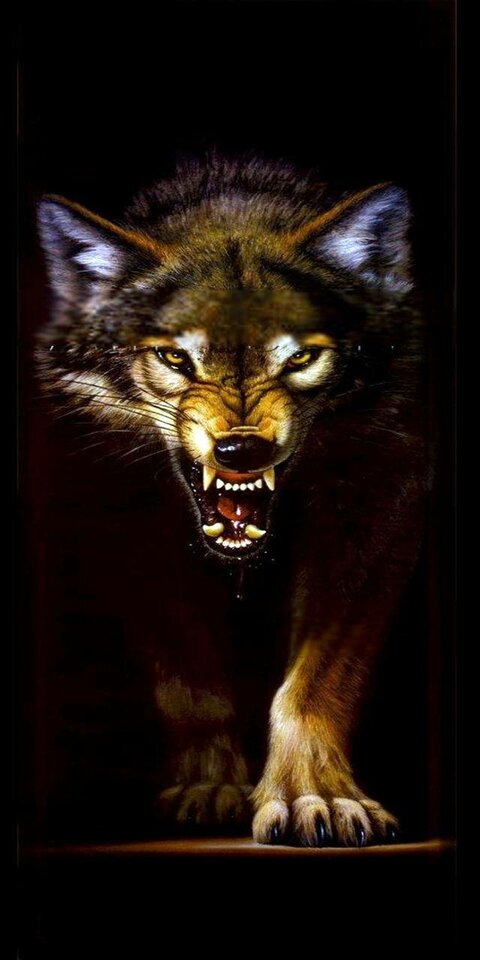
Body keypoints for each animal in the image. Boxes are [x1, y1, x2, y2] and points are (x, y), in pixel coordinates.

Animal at [36, 155, 428, 846]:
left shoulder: (384, 498)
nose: (242, 450)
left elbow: (317, 679)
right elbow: (189, 675)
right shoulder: (117, 516)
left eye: (301, 356)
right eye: (174, 356)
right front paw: (210, 786)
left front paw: (316, 797)